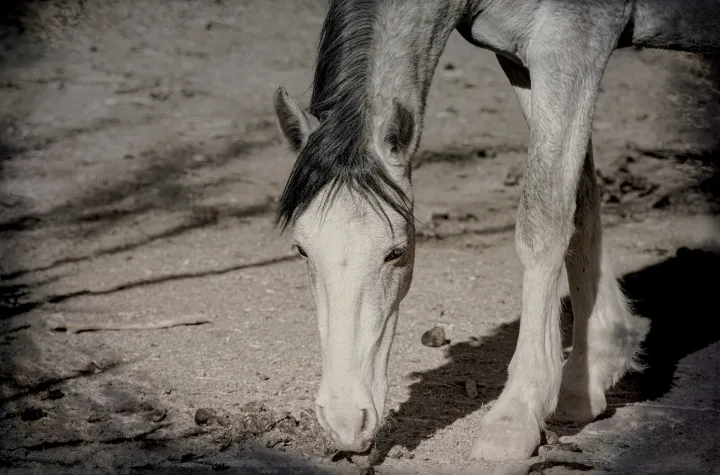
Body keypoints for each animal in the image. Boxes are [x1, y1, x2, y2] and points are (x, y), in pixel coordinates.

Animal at [271, 0, 720, 462]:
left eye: (395, 252)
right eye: (301, 250)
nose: (346, 424)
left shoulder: (575, 43)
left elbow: (544, 220)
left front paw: (516, 415)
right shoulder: (523, 61)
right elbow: (580, 204)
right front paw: (587, 379)